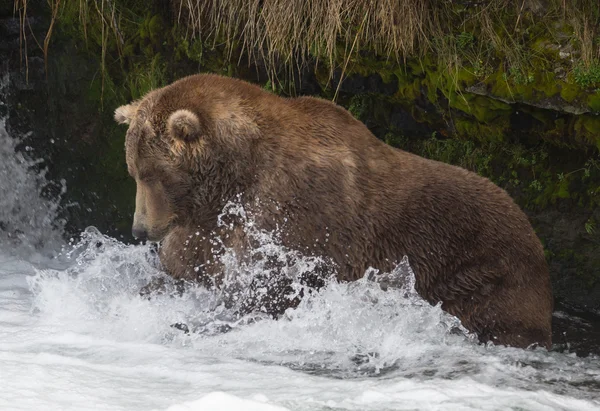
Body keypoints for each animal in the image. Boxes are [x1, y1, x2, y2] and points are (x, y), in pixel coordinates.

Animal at [113, 73, 552, 348]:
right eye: (133, 171)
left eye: (153, 174)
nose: (139, 230)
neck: (234, 177)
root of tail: (535, 238)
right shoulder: (211, 225)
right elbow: (187, 266)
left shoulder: (293, 213)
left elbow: (271, 284)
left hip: (478, 267)